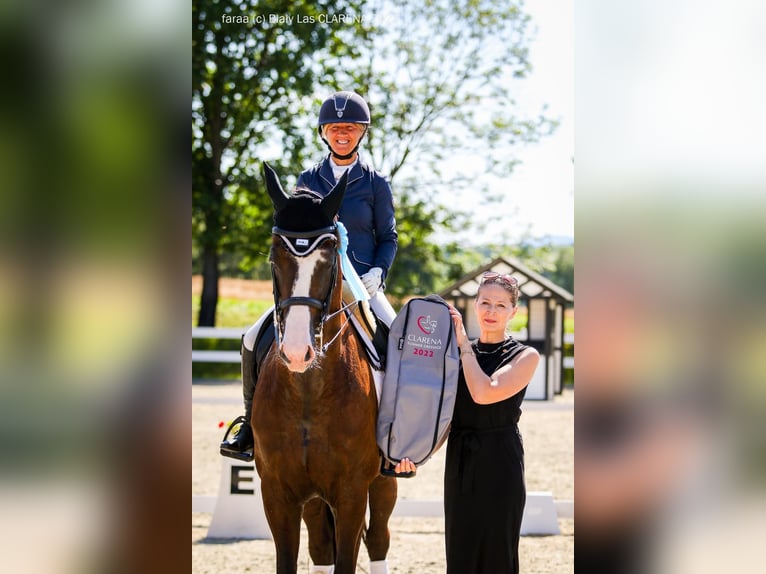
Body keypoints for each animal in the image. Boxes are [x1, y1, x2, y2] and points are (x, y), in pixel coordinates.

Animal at [252, 163, 400, 574]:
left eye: (331, 253)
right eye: (274, 256)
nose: (297, 351)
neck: (308, 390)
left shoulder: (351, 493)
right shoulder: (277, 494)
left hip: (382, 482)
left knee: (378, 539)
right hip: (314, 497)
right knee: (320, 546)